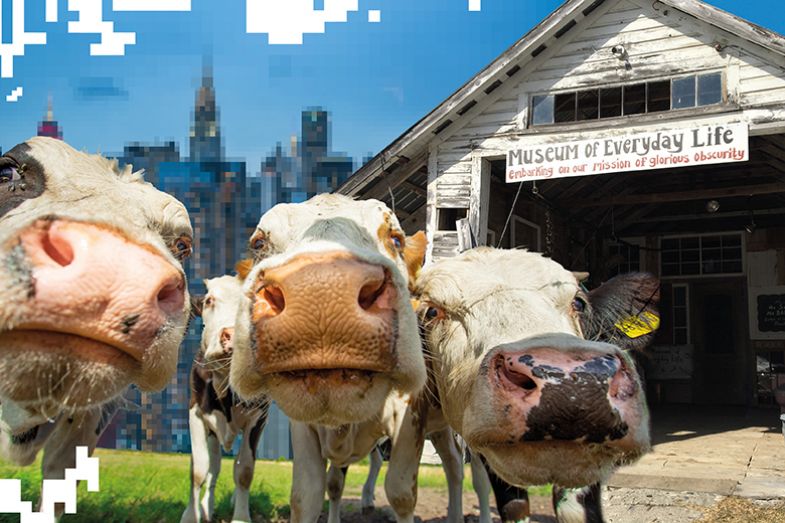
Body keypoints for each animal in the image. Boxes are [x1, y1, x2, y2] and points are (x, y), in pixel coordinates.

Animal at [229, 194, 439, 522]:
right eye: (259, 243)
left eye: (396, 239)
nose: (322, 290)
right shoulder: (302, 427)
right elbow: (308, 494)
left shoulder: (410, 414)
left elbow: (401, 493)